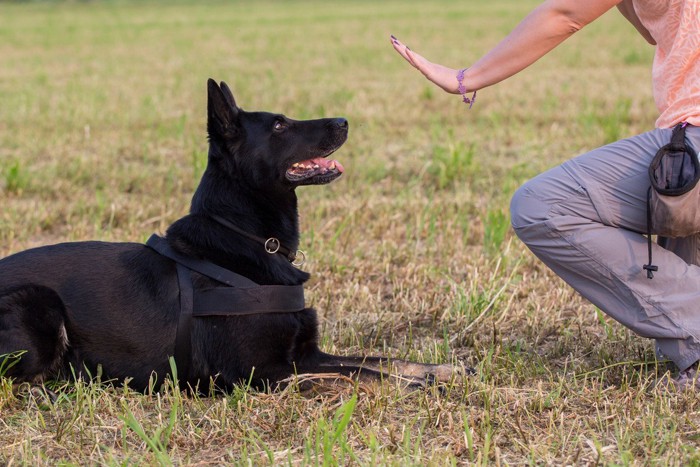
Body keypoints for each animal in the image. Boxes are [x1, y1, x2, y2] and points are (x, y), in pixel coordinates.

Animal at [0, 80, 456, 394]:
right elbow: (361, 373)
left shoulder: (307, 353)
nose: (344, 121)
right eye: (279, 125)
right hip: (38, 304)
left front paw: (438, 370)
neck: (249, 239)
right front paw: (413, 386)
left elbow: (379, 358)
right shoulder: (263, 372)